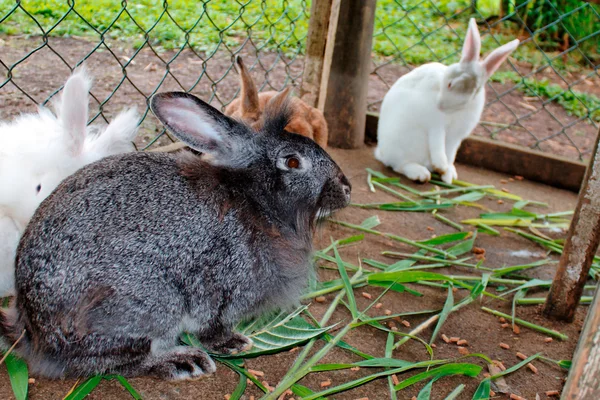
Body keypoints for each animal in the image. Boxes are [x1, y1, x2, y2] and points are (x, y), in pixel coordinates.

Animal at [0, 90, 352, 382]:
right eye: (292, 161)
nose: (346, 188)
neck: (255, 198)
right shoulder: (218, 286)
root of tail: (35, 333)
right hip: (152, 302)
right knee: (111, 362)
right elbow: (212, 326)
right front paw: (234, 343)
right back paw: (182, 362)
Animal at [376, 19, 520, 184]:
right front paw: (442, 167)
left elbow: (450, 153)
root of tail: (381, 152)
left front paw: (447, 175)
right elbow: (437, 145)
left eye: (474, 91)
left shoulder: (456, 135)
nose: (441, 105)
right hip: (401, 146)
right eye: (450, 84)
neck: (452, 112)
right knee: (399, 165)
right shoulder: (435, 126)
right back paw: (420, 174)